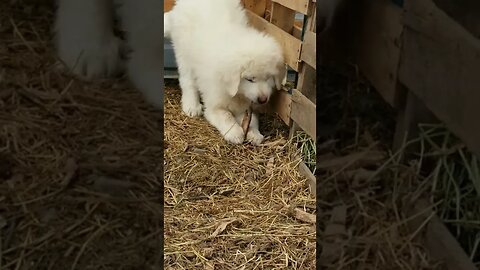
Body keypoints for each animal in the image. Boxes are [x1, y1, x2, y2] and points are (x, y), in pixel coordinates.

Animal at [165, 0, 284, 146]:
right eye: (250, 79)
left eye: (268, 78)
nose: (263, 100)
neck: (238, 93)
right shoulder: (214, 105)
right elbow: (226, 116)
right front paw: (235, 133)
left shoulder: (246, 107)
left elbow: (252, 120)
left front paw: (254, 134)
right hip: (184, 53)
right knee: (187, 81)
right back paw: (191, 106)